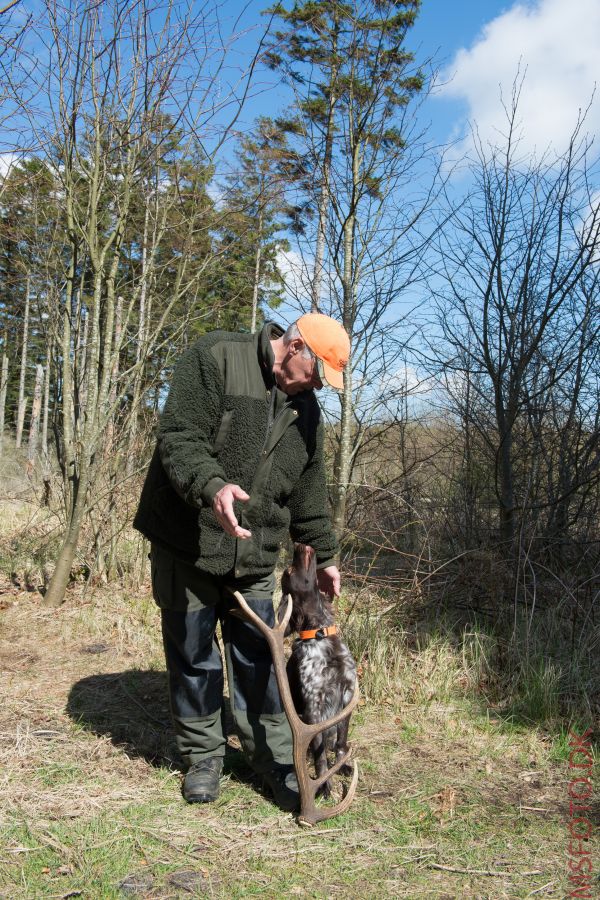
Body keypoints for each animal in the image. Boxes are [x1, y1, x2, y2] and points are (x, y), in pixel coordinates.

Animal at [280, 540, 358, 796]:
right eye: (289, 572)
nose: (299, 543)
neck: (320, 634)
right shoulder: (313, 708)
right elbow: (320, 755)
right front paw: (325, 784)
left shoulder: (347, 694)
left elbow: (341, 744)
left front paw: (342, 767)